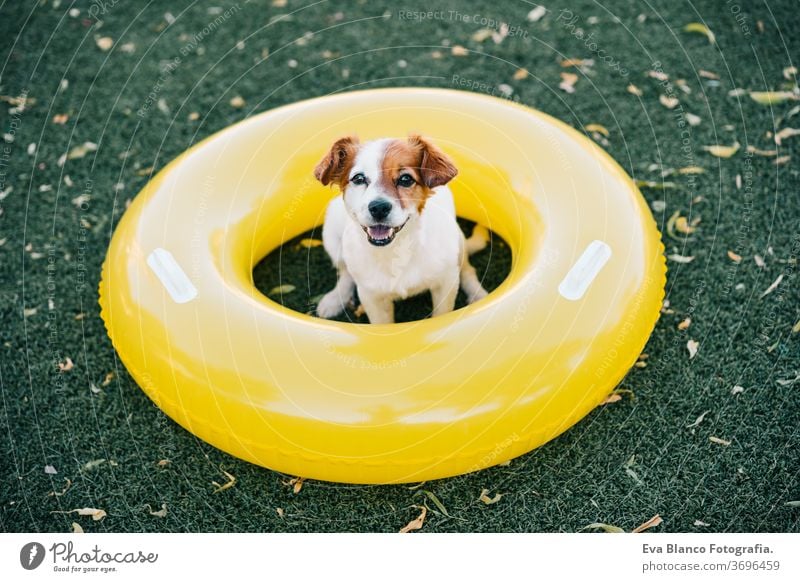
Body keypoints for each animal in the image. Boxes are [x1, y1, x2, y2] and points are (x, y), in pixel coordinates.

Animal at [312, 133, 488, 324]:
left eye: (406, 179)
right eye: (358, 179)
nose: (379, 208)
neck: (395, 249)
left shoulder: (446, 282)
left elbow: (442, 314)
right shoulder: (371, 297)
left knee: (468, 271)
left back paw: (479, 295)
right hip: (331, 236)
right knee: (345, 274)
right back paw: (335, 299)